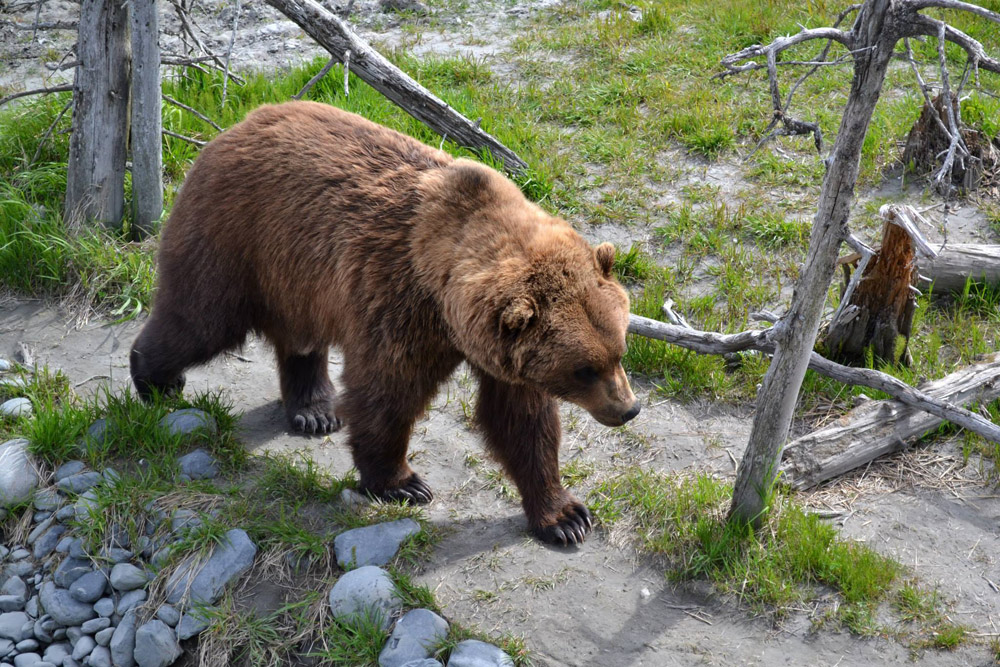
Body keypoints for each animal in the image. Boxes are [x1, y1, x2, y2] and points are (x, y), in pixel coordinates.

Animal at [131, 102, 640, 544]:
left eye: (619, 350)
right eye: (584, 369)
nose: (628, 409)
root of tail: (237, 125)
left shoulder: (499, 351)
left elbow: (523, 422)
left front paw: (565, 516)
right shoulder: (398, 300)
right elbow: (387, 394)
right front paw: (402, 482)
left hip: (296, 275)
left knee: (299, 337)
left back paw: (315, 409)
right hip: (237, 238)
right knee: (199, 319)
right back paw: (155, 379)